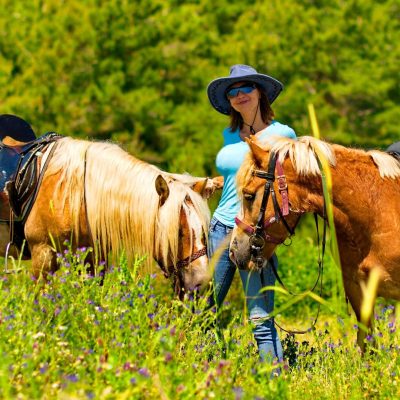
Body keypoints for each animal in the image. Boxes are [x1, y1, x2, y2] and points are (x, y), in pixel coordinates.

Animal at [0, 137, 222, 296]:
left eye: (203, 232)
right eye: (178, 232)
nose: (202, 282)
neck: (72, 193)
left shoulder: (94, 258)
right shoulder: (43, 254)